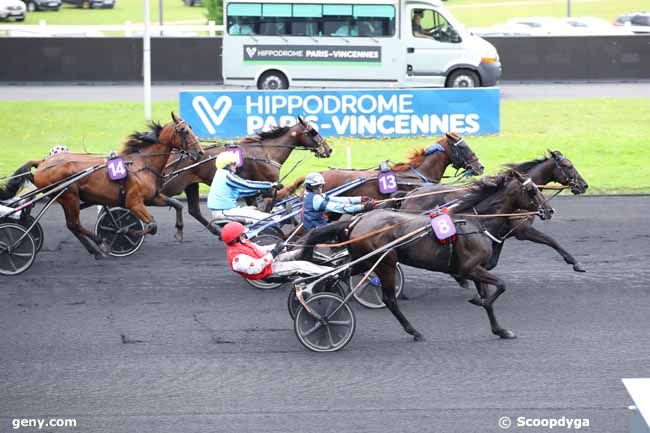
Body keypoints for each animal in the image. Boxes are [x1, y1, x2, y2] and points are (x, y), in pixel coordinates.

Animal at [0, 113, 202, 258]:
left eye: (191, 127)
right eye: (183, 130)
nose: (200, 152)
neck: (142, 163)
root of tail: (42, 163)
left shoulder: (152, 197)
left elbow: (176, 204)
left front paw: (179, 231)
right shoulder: (133, 202)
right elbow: (152, 225)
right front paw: (127, 232)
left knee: (72, 225)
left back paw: (95, 250)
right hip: (68, 196)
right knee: (74, 224)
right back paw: (99, 243)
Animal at [160, 116, 332, 238]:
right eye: (313, 131)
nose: (328, 149)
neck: (266, 153)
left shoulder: (255, 191)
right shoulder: (265, 187)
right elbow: (272, 201)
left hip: (191, 184)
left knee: (194, 211)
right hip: (173, 184)